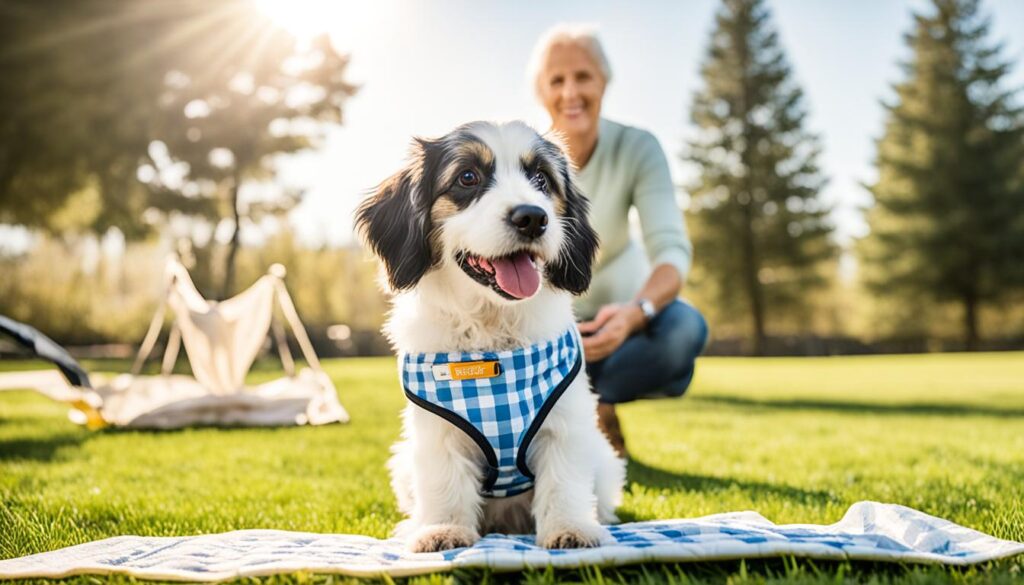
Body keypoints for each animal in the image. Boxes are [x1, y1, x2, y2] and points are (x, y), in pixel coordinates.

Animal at [356, 121, 626, 553]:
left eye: (541, 179)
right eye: (468, 177)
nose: (532, 217)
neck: (492, 330)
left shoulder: (566, 423)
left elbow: (564, 480)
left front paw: (569, 527)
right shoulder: (438, 433)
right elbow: (445, 481)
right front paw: (443, 530)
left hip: (605, 461)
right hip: (402, 463)